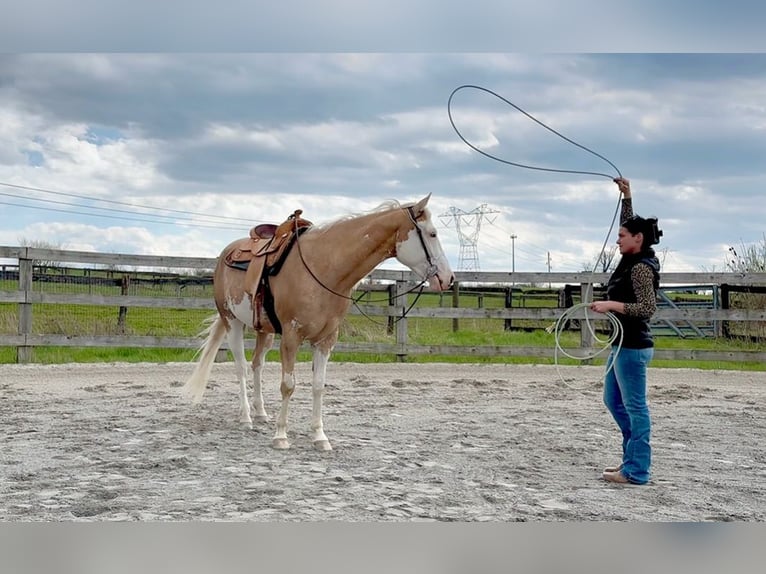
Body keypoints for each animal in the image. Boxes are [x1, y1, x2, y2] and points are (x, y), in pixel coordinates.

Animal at [182, 194, 454, 450]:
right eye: (432, 233)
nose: (448, 278)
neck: (323, 268)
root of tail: (226, 254)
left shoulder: (326, 340)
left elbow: (318, 386)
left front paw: (319, 437)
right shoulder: (291, 337)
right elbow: (288, 385)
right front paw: (281, 436)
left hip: (265, 331)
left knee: (257, 364)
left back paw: (260, 413)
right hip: (232, 322)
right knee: (240, 367)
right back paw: (246, 417)